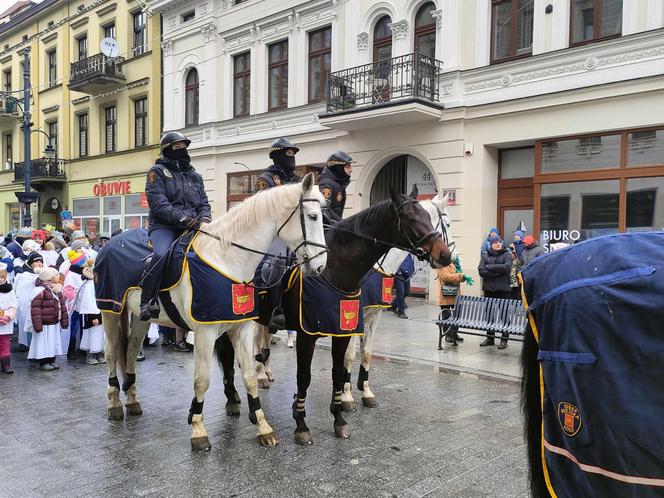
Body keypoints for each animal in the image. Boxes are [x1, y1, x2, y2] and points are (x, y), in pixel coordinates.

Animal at [100, 174, 326, 452]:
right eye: (313, 216)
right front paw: (198, 429)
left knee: (131, 349)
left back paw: (132, 400)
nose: (320, 265)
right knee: (112, 353)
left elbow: (249, 376)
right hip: (109, 310)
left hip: (142, 317)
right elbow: (202, 380)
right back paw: (114, 403)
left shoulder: (241, 328)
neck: (227, 260)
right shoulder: (205, 333)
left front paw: (263, 427)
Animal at [342, 191, 456, 408]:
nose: (449, 254)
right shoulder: (351, 314)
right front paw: (346, 395)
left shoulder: (373, 314)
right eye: (447, 222)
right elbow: (349, 354)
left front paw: (365, 391)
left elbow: (366, 352)